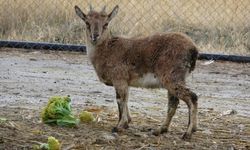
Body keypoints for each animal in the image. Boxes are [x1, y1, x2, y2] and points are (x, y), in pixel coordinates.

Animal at [75, 5, 198, 140]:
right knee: (173, 103)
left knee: (192, 97)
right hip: (174, 79)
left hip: (172, 77)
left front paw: (119, 126)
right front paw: (126, 123)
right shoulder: (125, 82)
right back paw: (160, 130)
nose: (95, 36)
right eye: (87, 22)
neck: (106, 50)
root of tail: (193, 50)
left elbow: (120, 100)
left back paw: (187, 132)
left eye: (106, 23)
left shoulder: (119, 79)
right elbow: (126, 99)